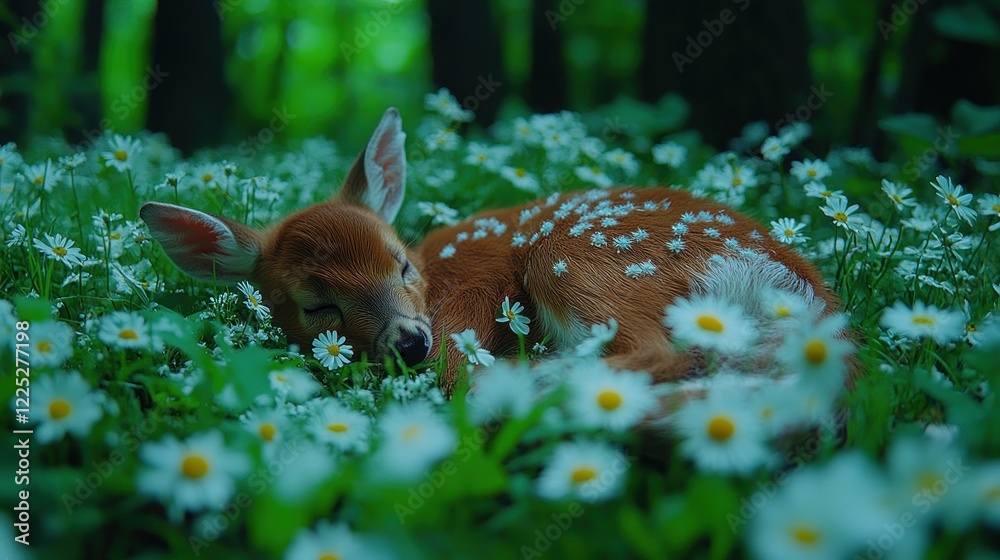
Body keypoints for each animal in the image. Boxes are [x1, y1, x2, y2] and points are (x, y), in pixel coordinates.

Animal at [140, 108, 836, 395]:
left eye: (401, 264)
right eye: (317, 305)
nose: (410, 341)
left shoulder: (470, 306)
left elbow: (456, 369)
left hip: (578, 259)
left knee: (656, 351)